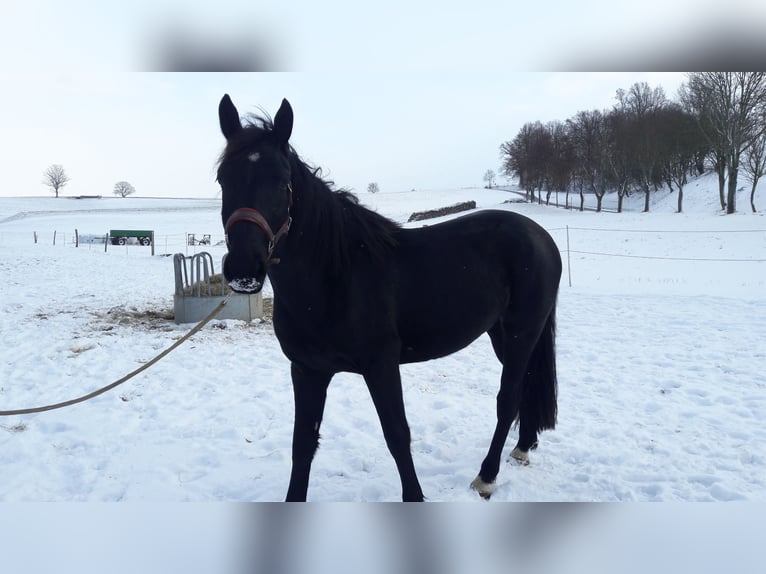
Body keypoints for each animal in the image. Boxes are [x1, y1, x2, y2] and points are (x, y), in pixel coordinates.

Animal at [217, 95, 562, 501]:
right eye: (223, 178)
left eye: (282, 181)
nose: (244, 268)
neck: (334, 278)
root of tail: (540, 236)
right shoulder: (307, 370)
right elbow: (302, 444)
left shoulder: (381, 365)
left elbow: (397, 435)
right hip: (501, 334)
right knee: (524, 387)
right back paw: (522, 447)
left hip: (523, 331)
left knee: (508, 398)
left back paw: (487, 476)